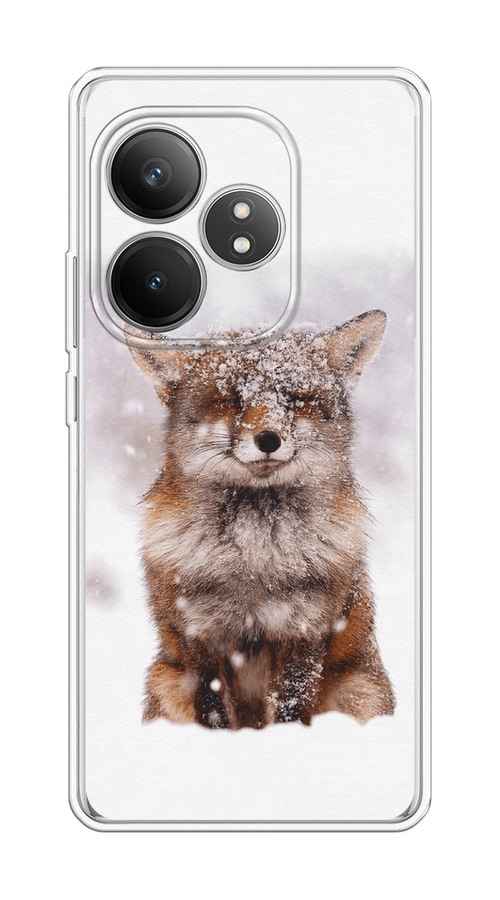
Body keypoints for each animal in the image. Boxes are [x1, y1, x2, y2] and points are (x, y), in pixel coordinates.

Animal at [127, 310, 396, 729]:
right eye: (230, 400)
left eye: (296, 398)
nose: (268, 439)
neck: (254, 556)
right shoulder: (198, 633)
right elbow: (213, 710)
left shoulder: (305, 629)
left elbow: (291, 706)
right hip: (165, 680)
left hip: (358, 690)